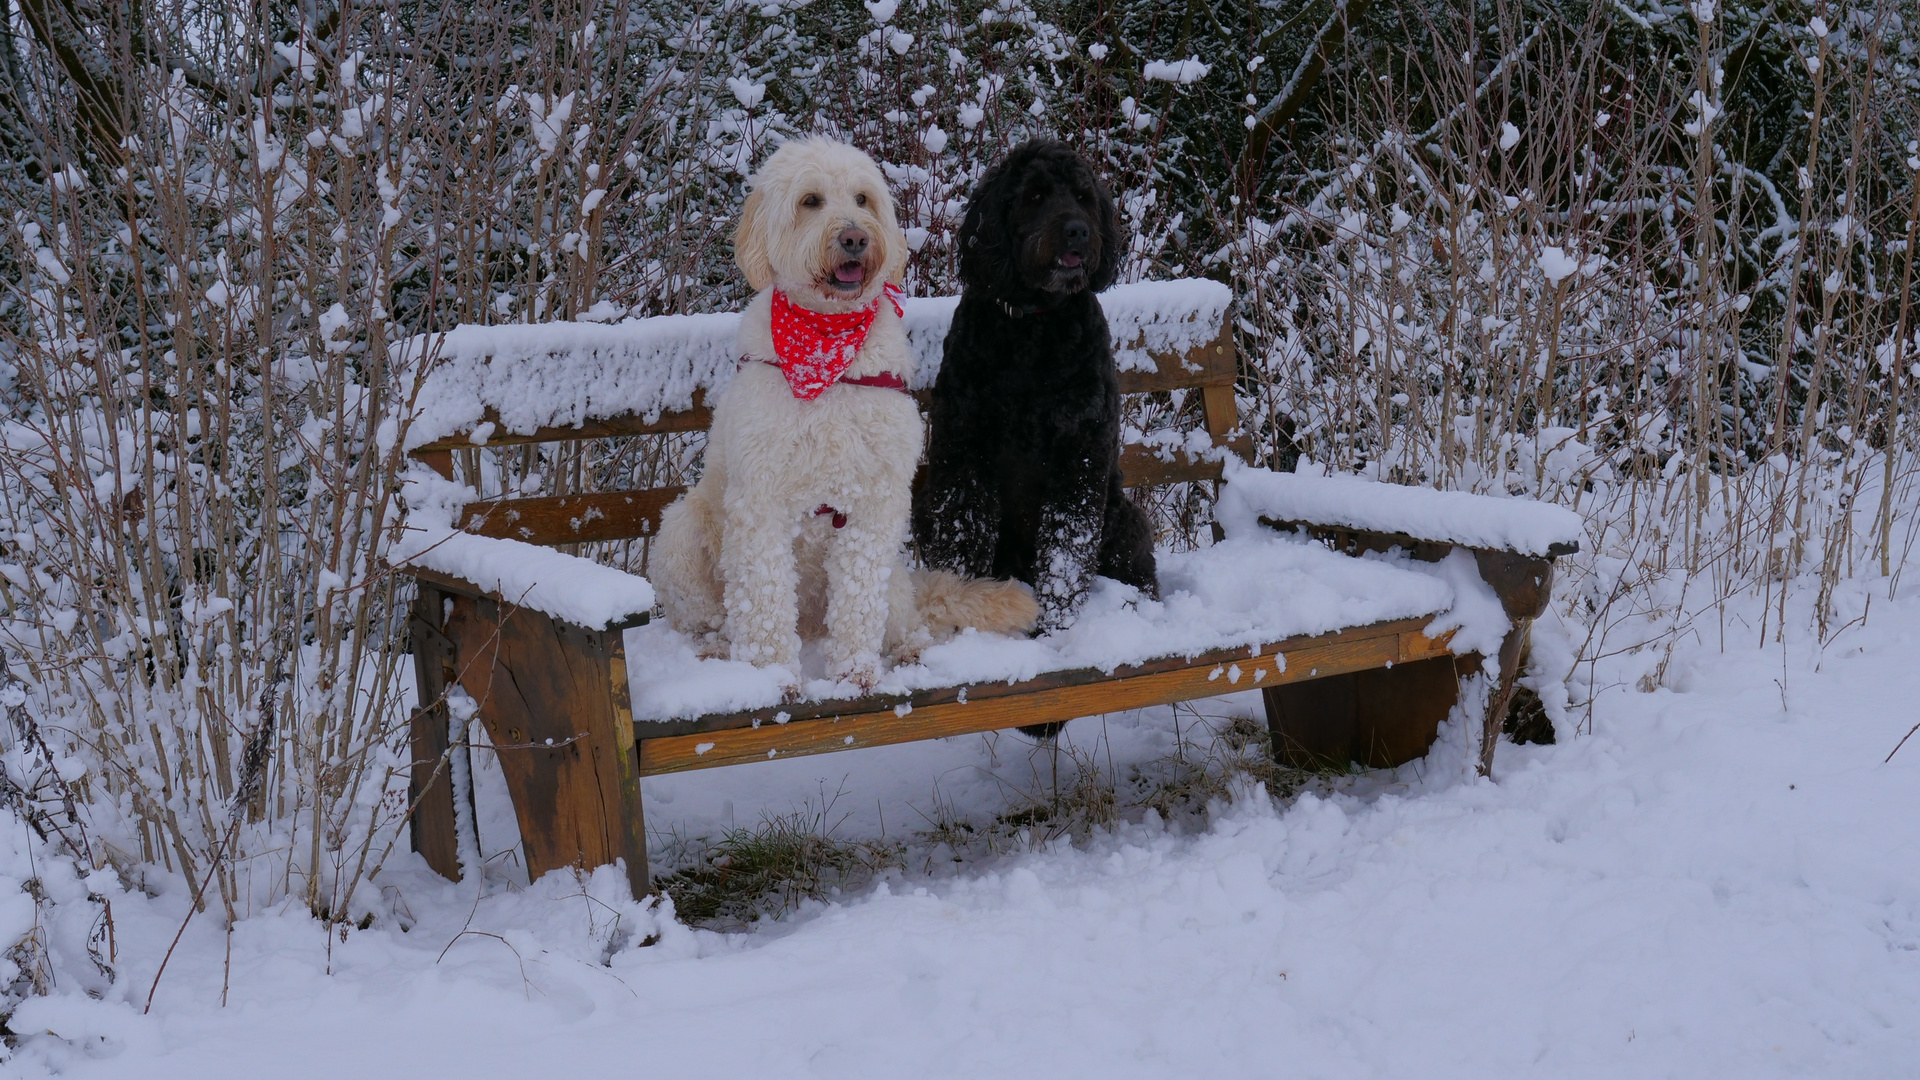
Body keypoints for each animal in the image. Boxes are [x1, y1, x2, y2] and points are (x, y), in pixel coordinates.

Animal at [652, 136, 1036, 687]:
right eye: (810, 201)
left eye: (862, 199)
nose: (855, 237)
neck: (826, 350)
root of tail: (812, 627)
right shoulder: (761, 500)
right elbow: (764, 596)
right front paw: (772, 675)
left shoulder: (874, 502)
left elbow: (858, 598)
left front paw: (855, 673)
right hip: (681, 535)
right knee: (708, 616)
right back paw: (717, 649)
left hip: (893, 579)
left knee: (903, 618)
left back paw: (911, 652)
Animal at [910, 137, 1152, 657]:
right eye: (1035, 196)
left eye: (1083, 197)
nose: (1079, 231)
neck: (1032, 325)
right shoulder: (965, 453)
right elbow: (962, 536)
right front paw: (964, 619)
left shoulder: (1079, 456)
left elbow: (1065, 551)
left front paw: (1056, 630)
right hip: (923, 502)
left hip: (1122, 515)